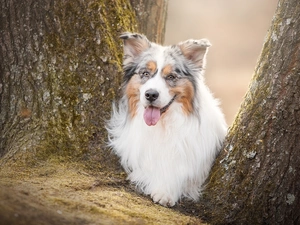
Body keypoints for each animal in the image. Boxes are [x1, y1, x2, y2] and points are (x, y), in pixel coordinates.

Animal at [106, 32, 226, 207]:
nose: (150, 94)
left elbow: (178, 172)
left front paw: (165, 192)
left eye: (171, 76)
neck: (163, 124)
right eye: (145, 73)